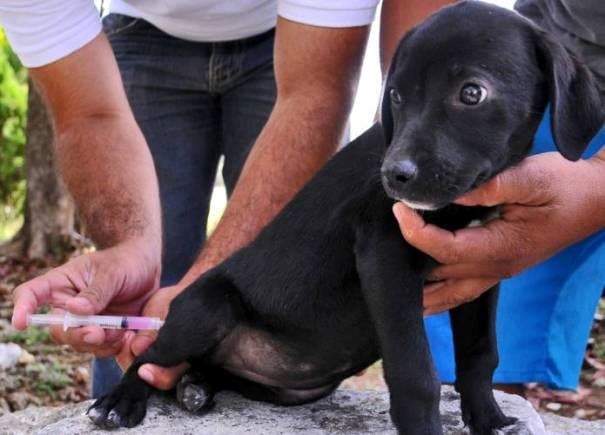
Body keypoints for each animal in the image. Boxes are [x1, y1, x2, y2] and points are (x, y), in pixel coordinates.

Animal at [87, 1, 600, 434]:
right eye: (397, 95)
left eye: (471, 93)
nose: (394, 176)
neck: (462, 204)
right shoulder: (385, 255)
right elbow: (417, 375)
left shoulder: (479, 268)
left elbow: (480, 355)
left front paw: (489, 419)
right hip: (205, 310)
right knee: (151, 357)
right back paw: (121, 400)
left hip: (292, 387)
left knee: (210, 370)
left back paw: (196, 386)